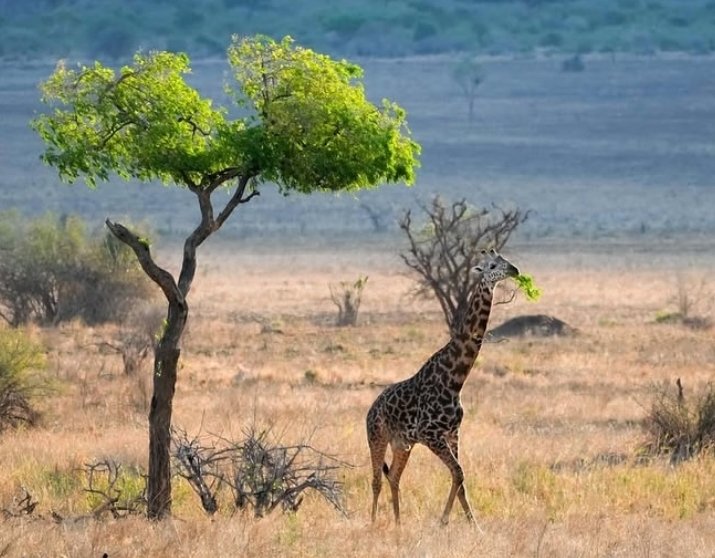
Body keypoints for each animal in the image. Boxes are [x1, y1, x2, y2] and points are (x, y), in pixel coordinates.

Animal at [370, 249, 520, 524]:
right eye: (492, 266)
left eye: (505, 259)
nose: (515, 270)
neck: (455, 380)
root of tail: (370, 409)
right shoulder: (431, 435)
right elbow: (459, 474)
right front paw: (444, 521)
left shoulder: (453, 433)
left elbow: (460, 479)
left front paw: (474, 526)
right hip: (376, 436)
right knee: (376, 479)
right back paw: (373, 522)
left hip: (401, 444)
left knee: (394, 477)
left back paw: (398, 522)